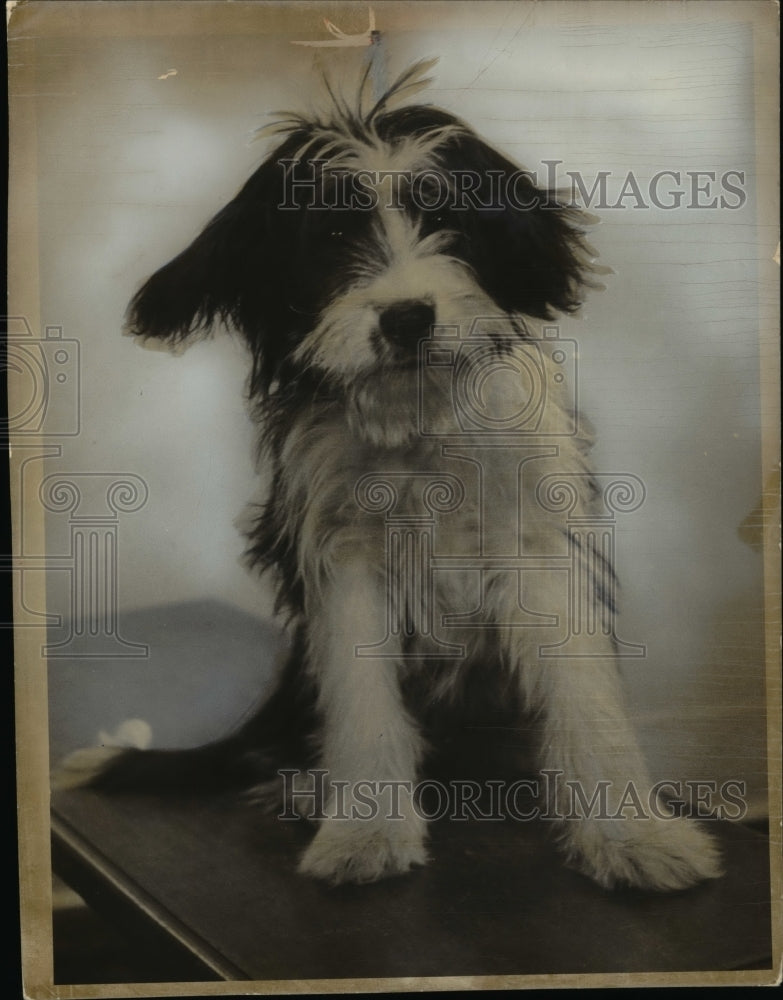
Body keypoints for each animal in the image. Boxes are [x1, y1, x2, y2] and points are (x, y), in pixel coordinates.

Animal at [56, 64, 724, 892]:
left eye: (447, 219)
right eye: (332, 238)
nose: (406, 317)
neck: (419, 427)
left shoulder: (534, 543)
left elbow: (583, 692)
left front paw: (633, 835)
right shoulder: (345, 560)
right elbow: (361, 701)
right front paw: (365, 830)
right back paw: (311, 788)